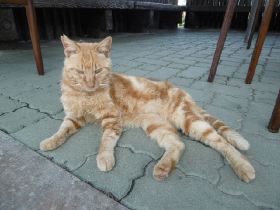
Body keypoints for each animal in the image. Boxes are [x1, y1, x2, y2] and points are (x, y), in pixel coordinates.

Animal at [40, 35, 256, 181]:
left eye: (98, 71)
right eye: (79, 71)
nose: (91, 84)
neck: (85, 95)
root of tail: (183, 92)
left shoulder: (111, 117)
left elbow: (106, 140)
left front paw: (104, 157)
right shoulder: (74, 117)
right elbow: (63, 130)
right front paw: (50, 141)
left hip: (188, 120)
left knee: (221, 142)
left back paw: (243, 166)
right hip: (156, 124)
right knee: (178, 144)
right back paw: (164, 167)